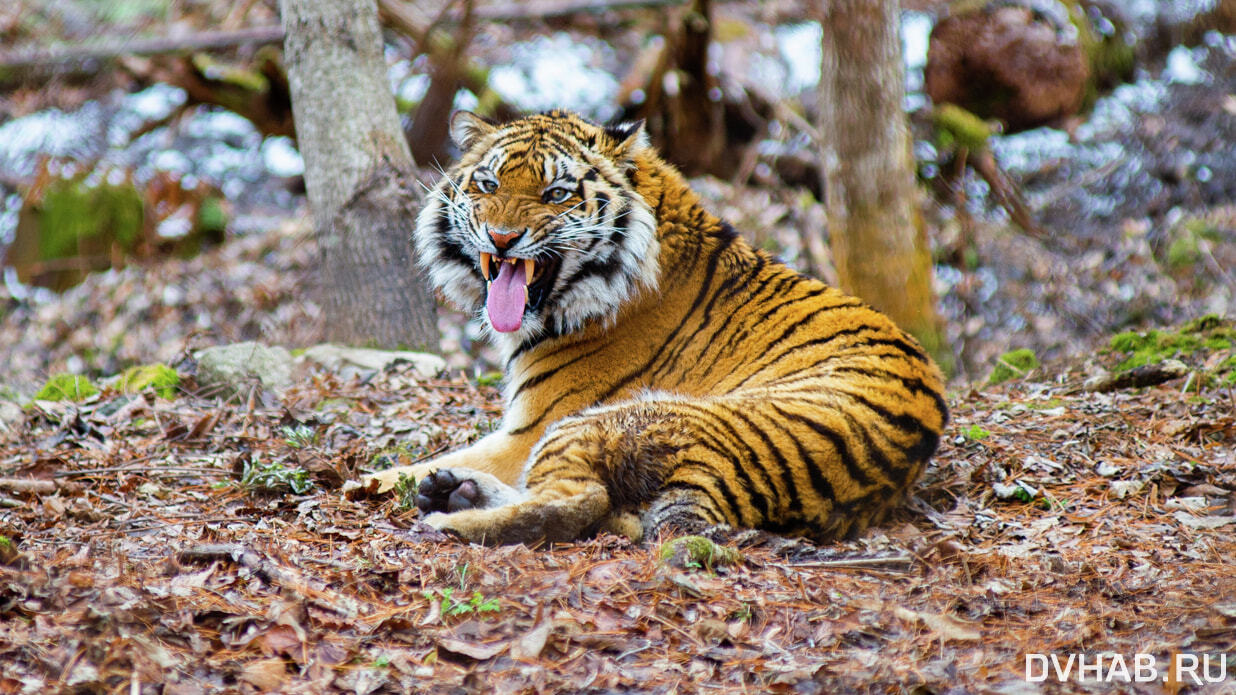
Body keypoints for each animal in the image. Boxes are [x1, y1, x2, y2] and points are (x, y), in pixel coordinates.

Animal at [360, 108, 949, 544]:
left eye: (556, 194)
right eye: (487, 184)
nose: (502, 238)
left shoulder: (530, 427)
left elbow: (412, 464)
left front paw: (361, 481)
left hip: (606, 421)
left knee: (578, 500)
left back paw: (450, 510)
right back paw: (452, 490)